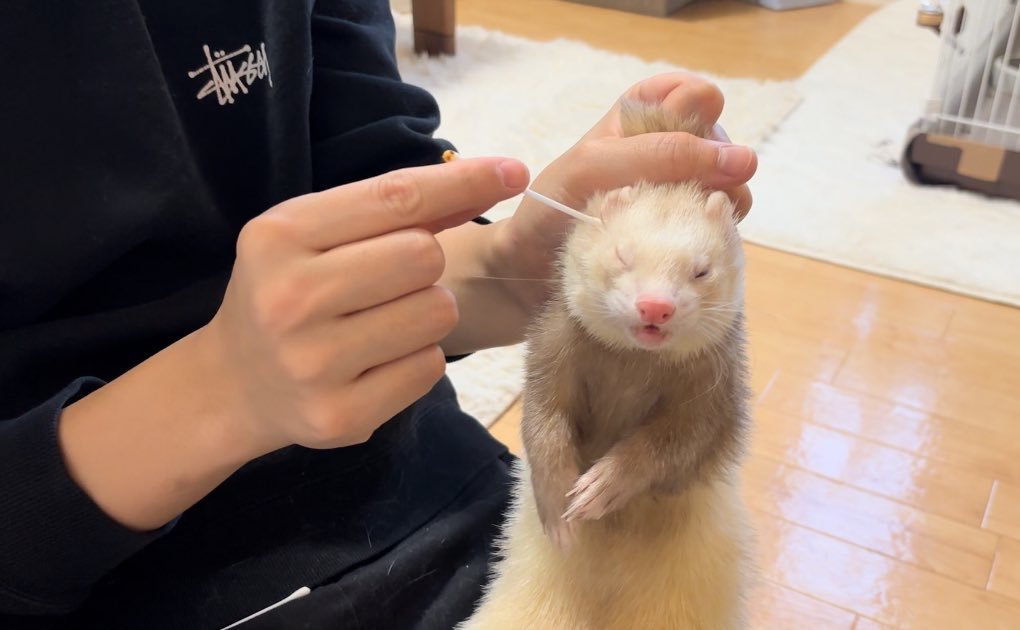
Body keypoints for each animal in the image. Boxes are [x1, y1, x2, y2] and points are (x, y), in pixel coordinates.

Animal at [459, 99, 755, 630]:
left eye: (702, 269)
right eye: (621, 253)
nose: (656, 306)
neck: (631, 371)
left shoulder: (713, 401)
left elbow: (671, 447)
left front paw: (602, 485)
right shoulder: (549, 357)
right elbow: (542, 426)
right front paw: (558, 502)